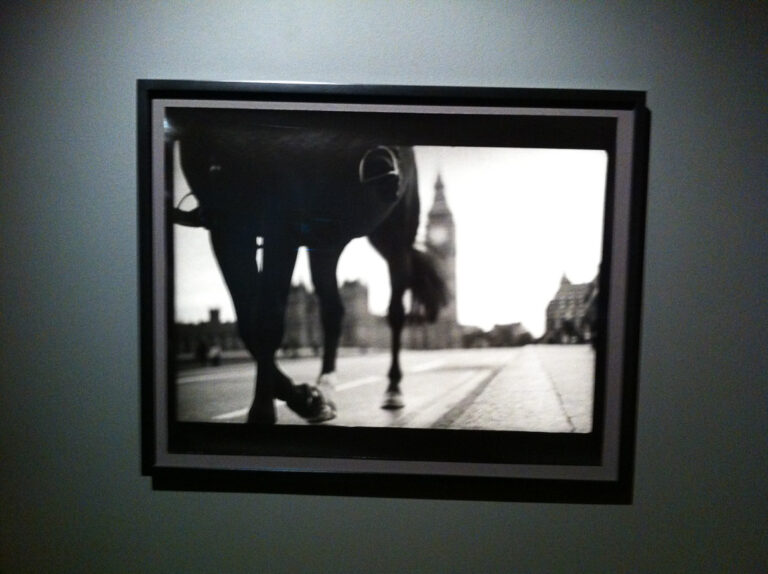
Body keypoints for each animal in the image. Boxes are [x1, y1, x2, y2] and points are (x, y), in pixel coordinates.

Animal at [165, 108, 448, 426]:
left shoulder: (282, 221)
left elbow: (267, 319)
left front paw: (263, 410)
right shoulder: (226, 224)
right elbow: (248, 323)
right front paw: (306, 398)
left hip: (394, 235)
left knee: (395, 312)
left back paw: (393, 389)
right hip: (328, 238)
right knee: (333, 309)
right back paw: (326, 387)